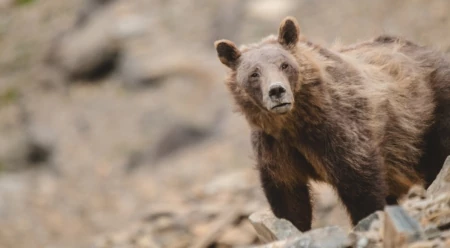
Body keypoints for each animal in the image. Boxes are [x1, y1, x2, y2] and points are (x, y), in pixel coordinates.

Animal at [214, 16, 450, 232]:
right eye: (254, 73)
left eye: (285, 64)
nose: (276, 91)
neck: (295, 122)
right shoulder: (275, 147)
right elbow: (288, 197)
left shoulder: (339, 132)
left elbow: (361, 184)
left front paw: (367, 219)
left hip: (429, 113)